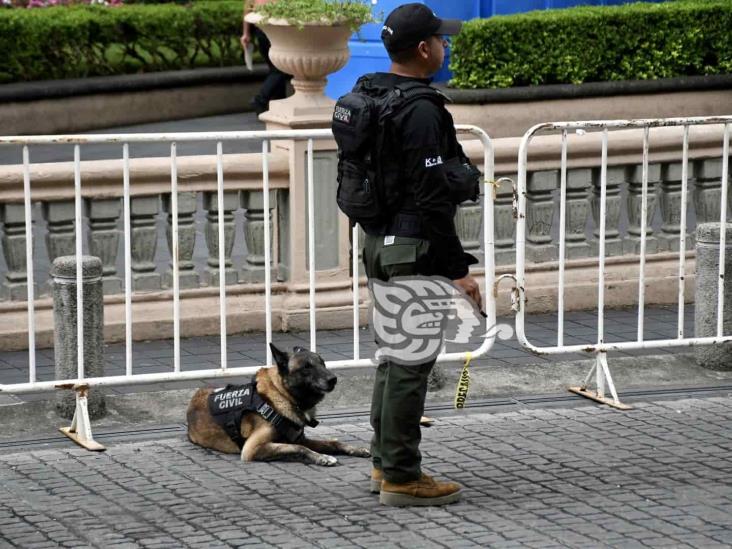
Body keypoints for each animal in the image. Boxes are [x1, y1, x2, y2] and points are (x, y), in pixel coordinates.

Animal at [187, 342, 372, 462]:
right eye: (306, 367)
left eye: (323, 363)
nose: (333, 379)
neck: (282, 395)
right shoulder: (251, 449)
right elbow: (299, 449)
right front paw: (321, 457)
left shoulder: (300, 439)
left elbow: (332, 442)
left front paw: (355, 449)